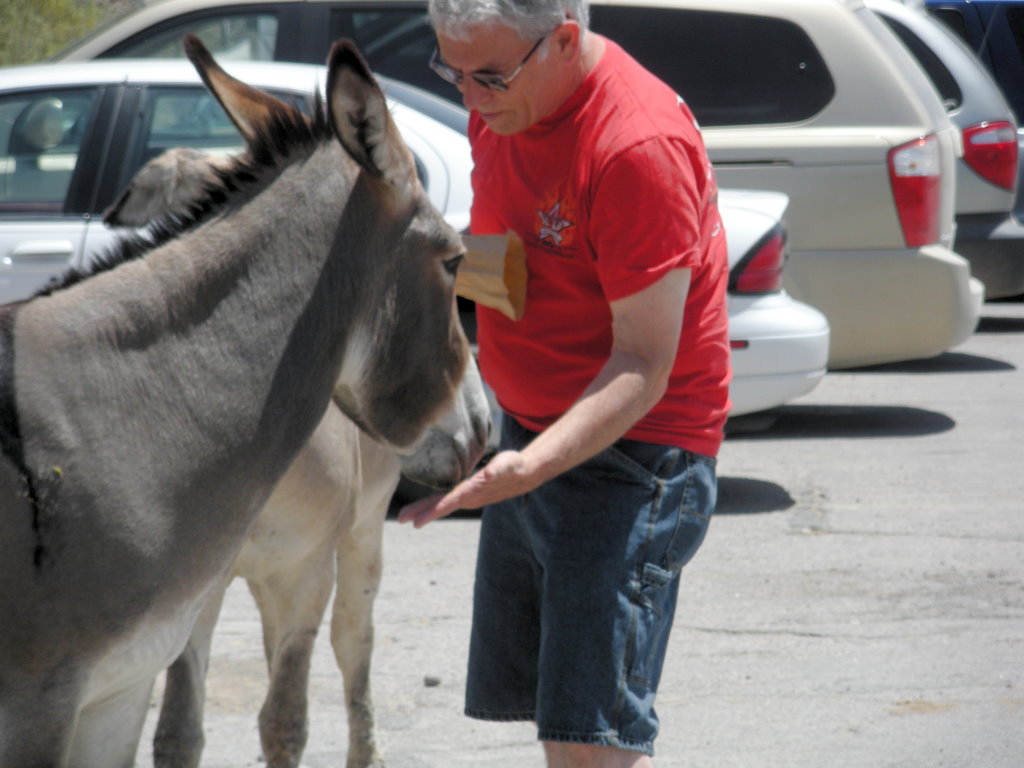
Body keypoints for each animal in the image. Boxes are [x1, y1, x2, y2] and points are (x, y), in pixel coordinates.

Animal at [0, 35, 475, 768]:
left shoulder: (285, 580)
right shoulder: (62, 690)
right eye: (454, 261)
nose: (482, 427)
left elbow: (284, 720)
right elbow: (180, 733)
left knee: (353, 647)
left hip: (359, 542)